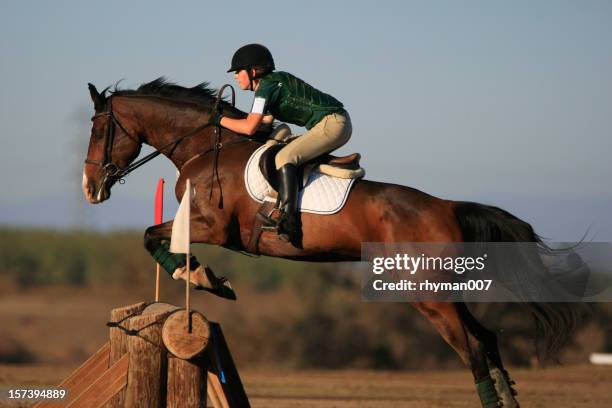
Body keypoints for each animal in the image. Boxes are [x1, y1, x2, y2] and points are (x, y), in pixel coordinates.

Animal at [83, 78, 580, 406]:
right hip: (445, 291)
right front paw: (207, 278)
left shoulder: (212, 226)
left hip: (427, 295)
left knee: (473, 350)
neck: (207, 145)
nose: (91, 189)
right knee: (487, 339)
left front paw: (203, 278)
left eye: (98, 129)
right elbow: (155, 238)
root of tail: (448, 206)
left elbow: (153, 237)